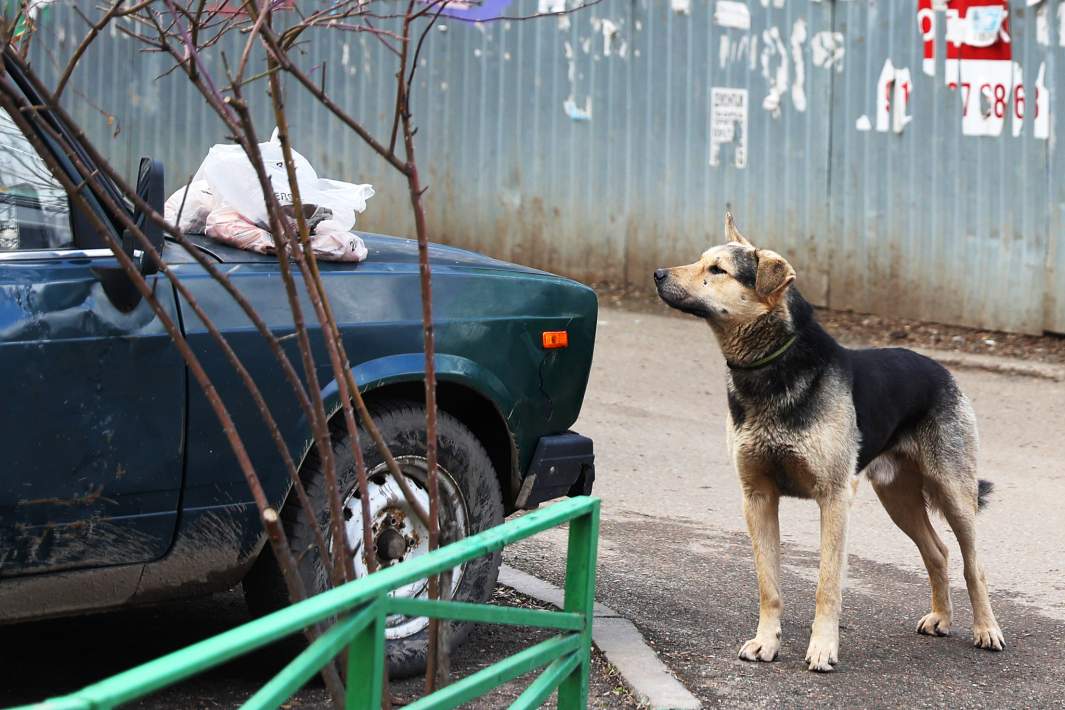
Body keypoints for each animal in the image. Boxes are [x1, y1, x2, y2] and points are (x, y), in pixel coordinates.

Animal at [651, 212, 1001, 672]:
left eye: (717, 269)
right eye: (700, 260)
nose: (657, 273)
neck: (770, 367)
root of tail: (940, 369)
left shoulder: (833, 498)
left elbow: (827, 584)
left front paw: (822, 648)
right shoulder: (757, 496)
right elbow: (769, 585)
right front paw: (766, 642)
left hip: (954, 493)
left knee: (973, 564)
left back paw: (987, 629)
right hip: (898, 499)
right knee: (938, 552)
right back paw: (941, 617)